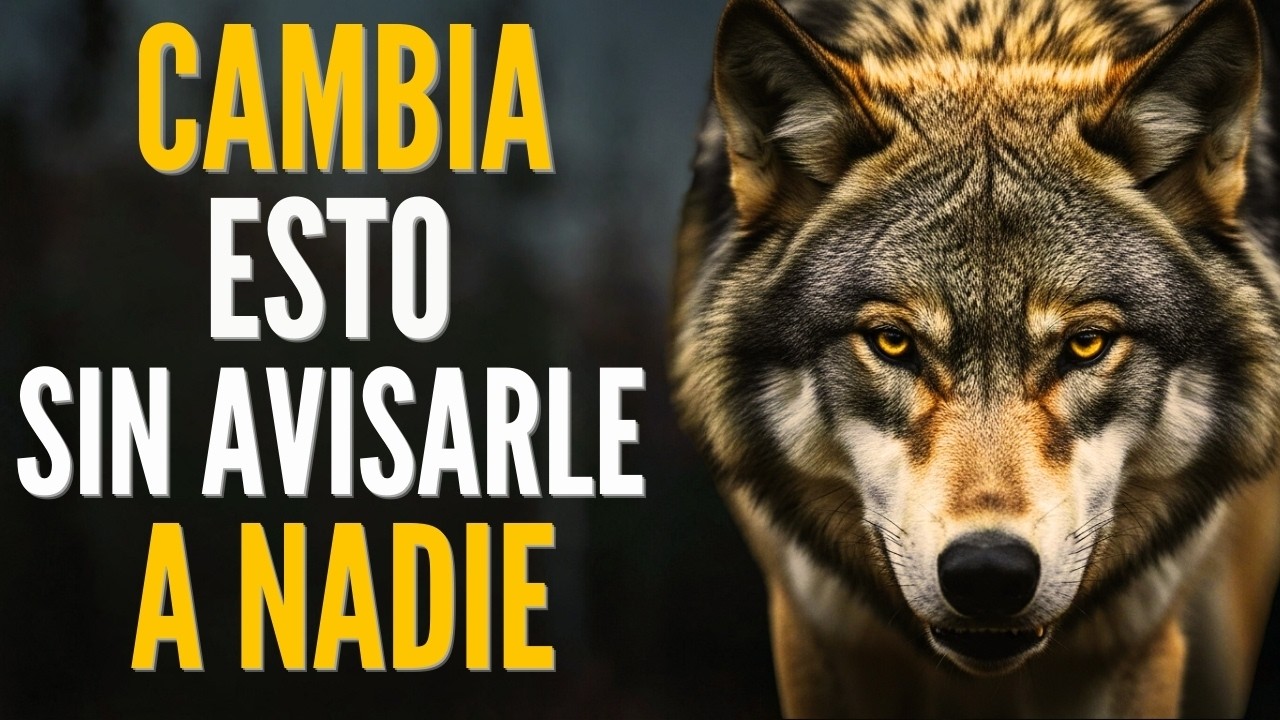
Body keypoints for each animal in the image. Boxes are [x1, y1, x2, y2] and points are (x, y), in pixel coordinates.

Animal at [670, 0, 1280, 715]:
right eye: (893, 342)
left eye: (1087, 344)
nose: (988, 572)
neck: (991, 36)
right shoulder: (817, 630)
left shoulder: (1136, 644)